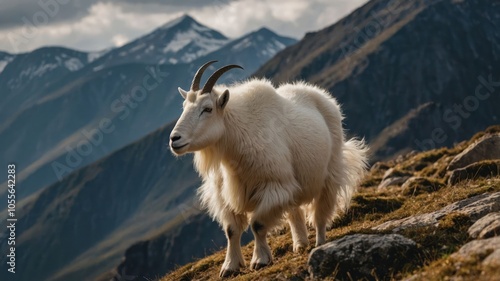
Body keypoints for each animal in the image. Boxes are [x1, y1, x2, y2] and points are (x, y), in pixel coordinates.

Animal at [170, 60, 370, 276]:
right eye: (184, 106)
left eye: (207, 109)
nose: (174, 139)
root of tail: (326, 99)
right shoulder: (226, 196)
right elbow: (231, 230)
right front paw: (230, 267)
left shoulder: (274, 187)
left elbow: (257, 225)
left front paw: (260, 260)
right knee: (295, 211)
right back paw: (300, 244)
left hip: (329, 174)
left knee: (320, 213)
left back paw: (320, 243)